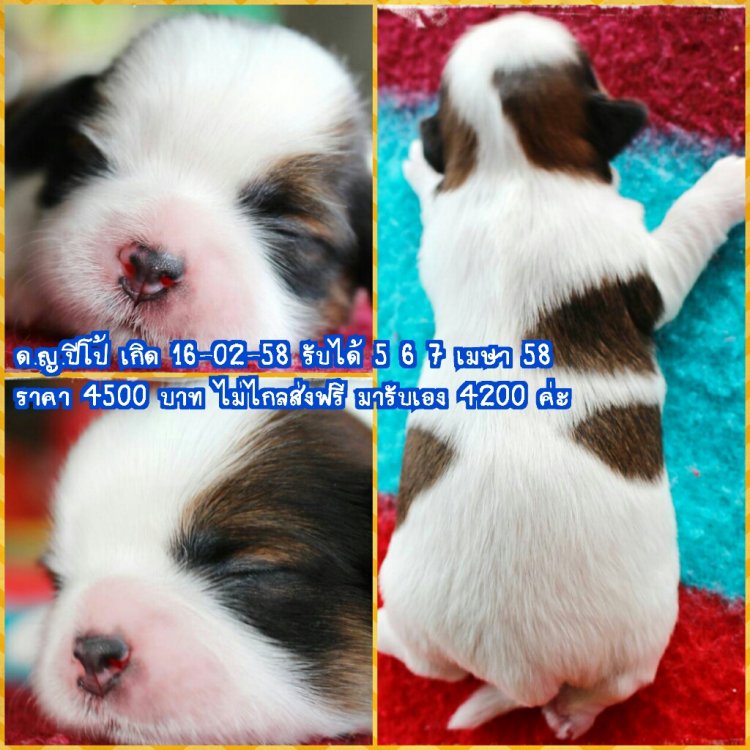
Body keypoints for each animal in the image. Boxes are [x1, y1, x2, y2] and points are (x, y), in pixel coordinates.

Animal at [378, 13, 745, 740]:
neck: (514, 165)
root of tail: (517, 668)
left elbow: (437, 191)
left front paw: (414, 164)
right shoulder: (651, 267)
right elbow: (691, 216)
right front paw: (730, 177)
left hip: (426, 621)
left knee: (428, 661)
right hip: (640, 637)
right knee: (610, 686)